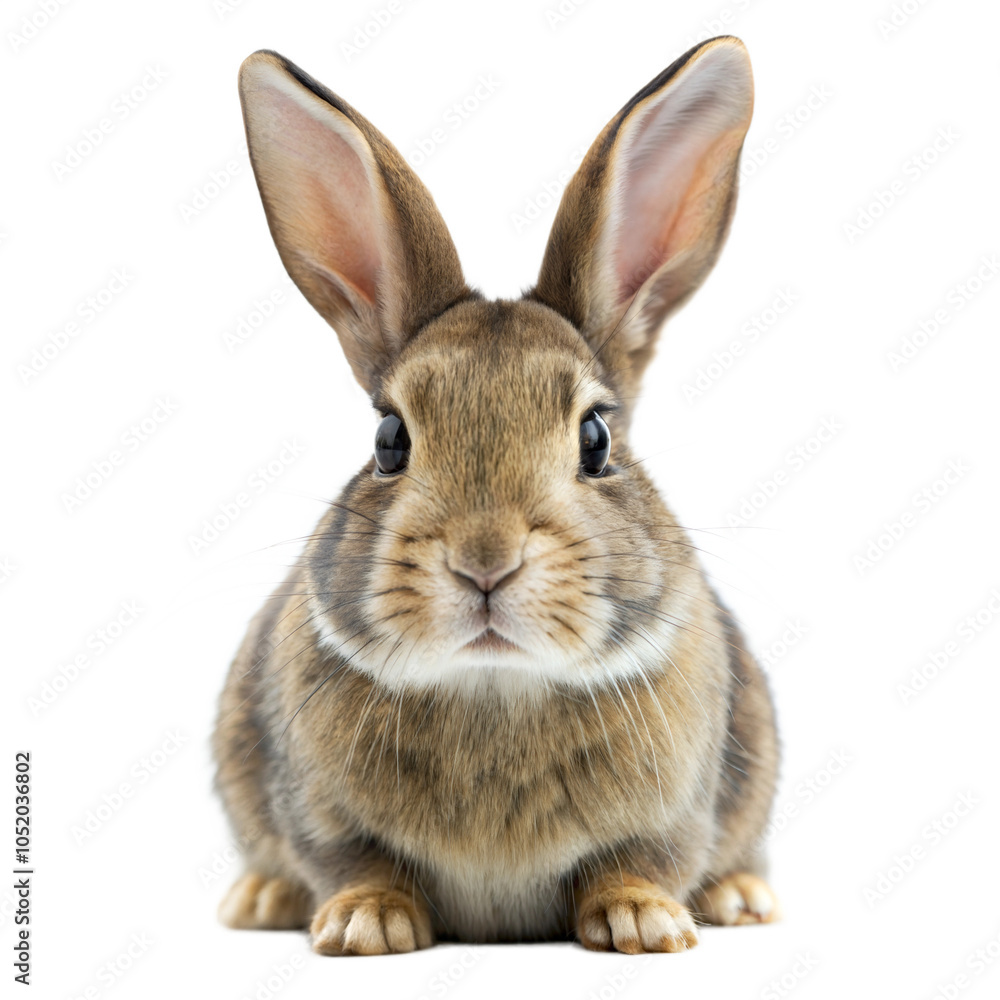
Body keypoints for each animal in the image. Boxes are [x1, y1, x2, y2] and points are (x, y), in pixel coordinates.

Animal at [213, 35, 780, 956]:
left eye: (597, 440)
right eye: (390, 439)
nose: (486, 560)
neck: (493, 687)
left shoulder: (676, 811)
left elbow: (643, 858)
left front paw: (645, 921)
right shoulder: (321, 814)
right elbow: (353, 860)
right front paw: (365, 924)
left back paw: (739, 897)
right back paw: (262, 898)